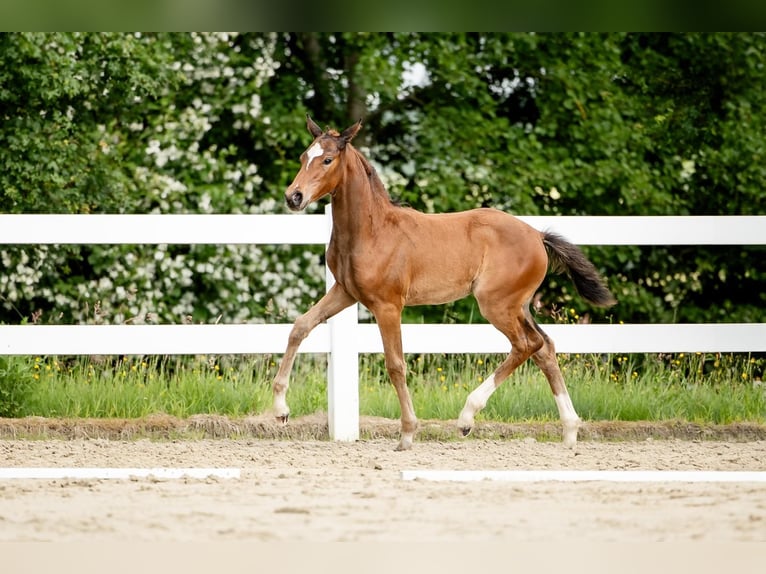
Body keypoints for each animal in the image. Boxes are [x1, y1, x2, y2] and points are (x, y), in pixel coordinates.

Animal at [272, 116, 616, 450]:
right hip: (518, 306)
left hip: (496, 304)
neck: (372, 230)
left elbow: (396, 364)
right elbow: (300, 327)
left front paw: (408, 433)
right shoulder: (345, 292)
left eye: (327, 159)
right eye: (304, 157)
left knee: (526, 345)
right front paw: (281, 411)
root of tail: (537, 235)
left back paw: (466, 418)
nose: (294, 197)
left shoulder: (387, 305)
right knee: (544, 347)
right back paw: (569, 431)